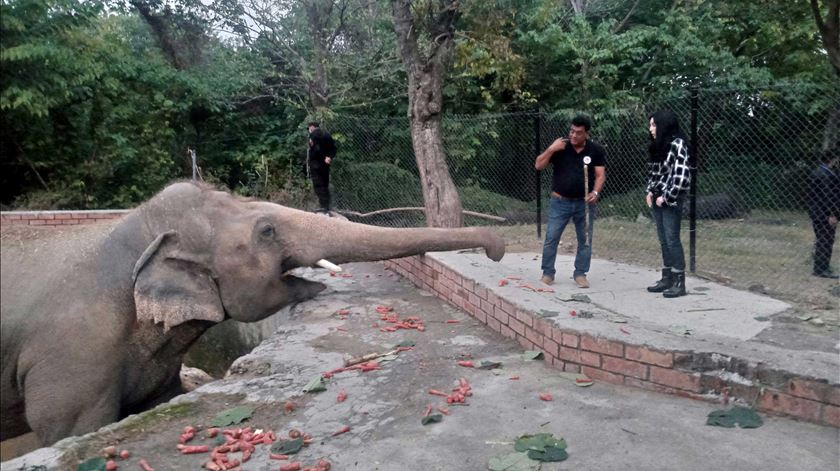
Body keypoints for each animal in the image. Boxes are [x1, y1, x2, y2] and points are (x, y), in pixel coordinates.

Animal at [0, 181, 506, 446]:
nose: (496, 249)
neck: (132, 230)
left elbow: (160, 399)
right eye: (266, 231)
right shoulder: (71, 367)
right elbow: (69, 432)